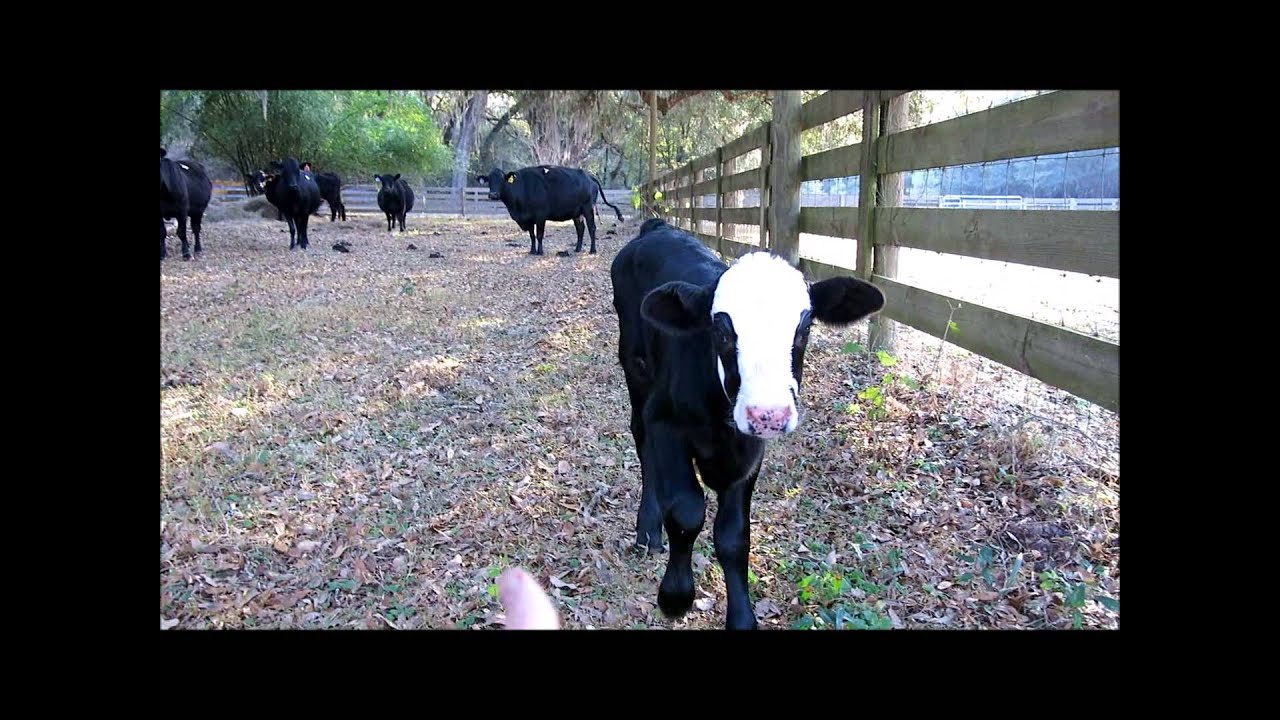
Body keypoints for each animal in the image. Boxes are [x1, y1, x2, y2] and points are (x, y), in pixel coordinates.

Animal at [477, 165, 624, 256]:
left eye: (502, 179)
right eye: (489, 180)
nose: (493, 194)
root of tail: (589, 177)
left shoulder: (540, 216)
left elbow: (539, 235)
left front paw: (540, 251)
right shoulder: (529, 218)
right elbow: (532, 235)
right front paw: (532, 250)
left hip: (588, 209)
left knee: (592, 228)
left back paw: (592, 250)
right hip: (577, 213)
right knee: (580, 229)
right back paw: (577, 249)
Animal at [609, 218, 886, 630]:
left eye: (804, 330)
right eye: (722, 332)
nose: (768, 414)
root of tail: (656, 227)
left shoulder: (749, 451)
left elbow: (733, 535)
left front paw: (741, 617)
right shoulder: (665, 421)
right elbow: (687, 511)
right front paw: (675, 596)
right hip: (634, 368)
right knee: (642, 442)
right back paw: (647, 529)